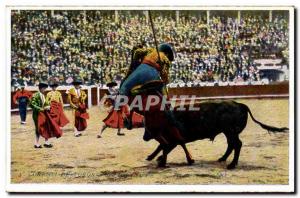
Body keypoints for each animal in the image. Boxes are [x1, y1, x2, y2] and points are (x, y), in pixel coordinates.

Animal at [131, 100, 288, 169]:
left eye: (149, 126)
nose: (144, 137)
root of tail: (240, 104)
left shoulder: (174, 139)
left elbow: (164, 147)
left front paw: (159, 160)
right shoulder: (174, 139)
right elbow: (162, 146)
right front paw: (153, 157)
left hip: (230, 131)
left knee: (237, 144)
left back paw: (232, 164)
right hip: (228, 132)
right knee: (231, 144)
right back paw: (222, 159)